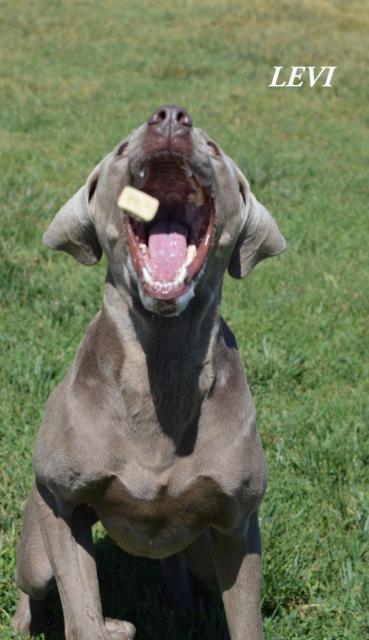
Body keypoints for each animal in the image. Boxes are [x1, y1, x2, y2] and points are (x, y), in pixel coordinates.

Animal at [12, 102, 284, 636]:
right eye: (122, 148)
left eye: (213, 147)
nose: (172, 117)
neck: (159, 368)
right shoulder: (61, 503)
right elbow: (83, 615)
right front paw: (100, 623)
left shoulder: (239, 523)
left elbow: (246, 620)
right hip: (34, 546)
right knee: (33, 588)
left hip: (200, 548)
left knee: (177, 563)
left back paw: (177, 604)